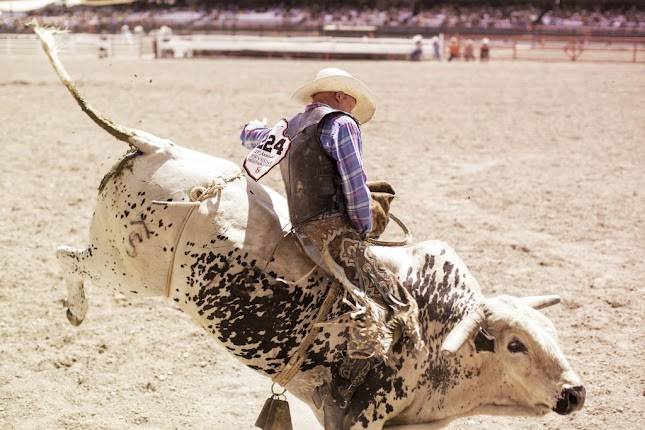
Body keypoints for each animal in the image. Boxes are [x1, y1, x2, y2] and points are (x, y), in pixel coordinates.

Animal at [36, 25, 588, 428]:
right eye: (515, 344)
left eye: (553, 332)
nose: (575, 393)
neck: (435, 334)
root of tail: (156, 145)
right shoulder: (357, 414)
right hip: (124, 267)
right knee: (67, 256)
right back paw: (76, 311)